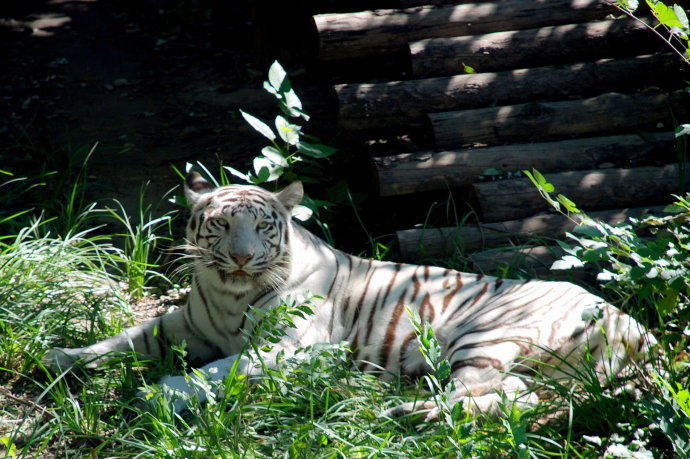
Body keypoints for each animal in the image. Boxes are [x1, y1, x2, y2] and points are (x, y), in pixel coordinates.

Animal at [45, 171, 655, 419]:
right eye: (219, 225)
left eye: (262, 227)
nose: (241, 257)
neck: (226, 293)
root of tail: (634, 327)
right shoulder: (181, 326)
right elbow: (123, 339)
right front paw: (60, 355)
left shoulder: (288, 348)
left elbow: (215, 373)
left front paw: (156, 395)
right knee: (520, 395)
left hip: (486, 333)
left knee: (486, 392)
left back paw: (401, 409)